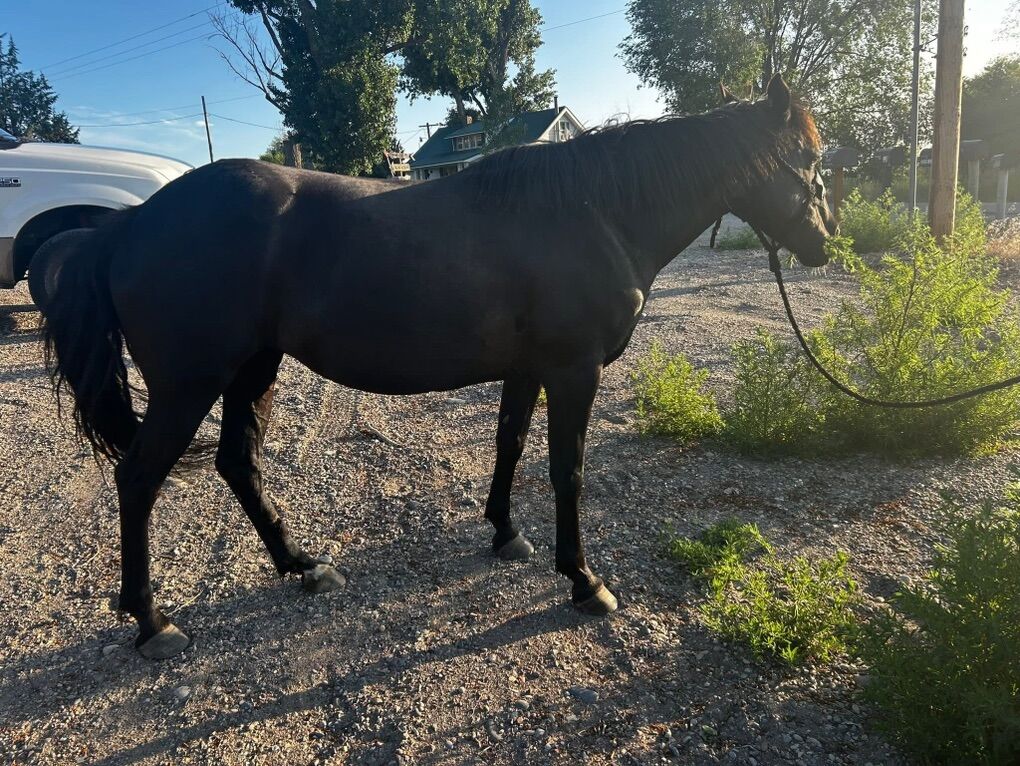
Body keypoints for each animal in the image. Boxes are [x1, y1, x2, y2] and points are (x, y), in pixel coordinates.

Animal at [31, 75, 836, 659]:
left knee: (237, 462)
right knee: (139, 478)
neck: (593, 211)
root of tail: (130, 224)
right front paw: (583, 581)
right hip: (190, 384)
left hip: (252, 368)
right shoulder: (573, 370)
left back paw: (301, 565)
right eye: (810, 161)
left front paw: (506, 534)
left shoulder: (529, 368)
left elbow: (510, 443)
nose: (826, 243)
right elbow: (567, 470)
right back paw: (153, 623)